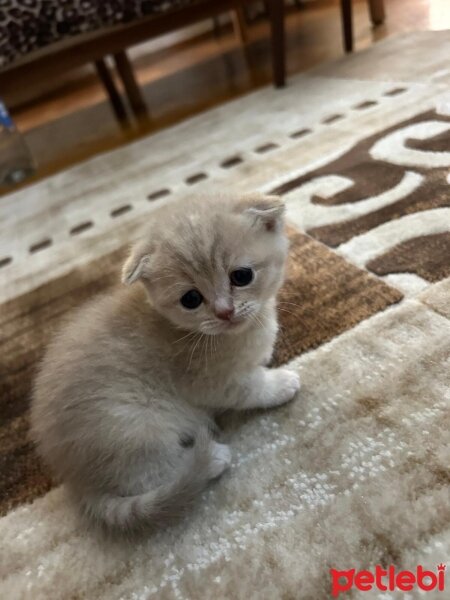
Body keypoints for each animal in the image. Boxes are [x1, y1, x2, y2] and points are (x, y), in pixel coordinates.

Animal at [30, 192, 298, 536]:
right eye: (191, 299)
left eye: (242, 276)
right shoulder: (211, 382)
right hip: (134, 426)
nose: (224, 312)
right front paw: (280, 383)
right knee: (151, 475)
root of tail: (76, 480)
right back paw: (210, 460)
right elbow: (251, 388)